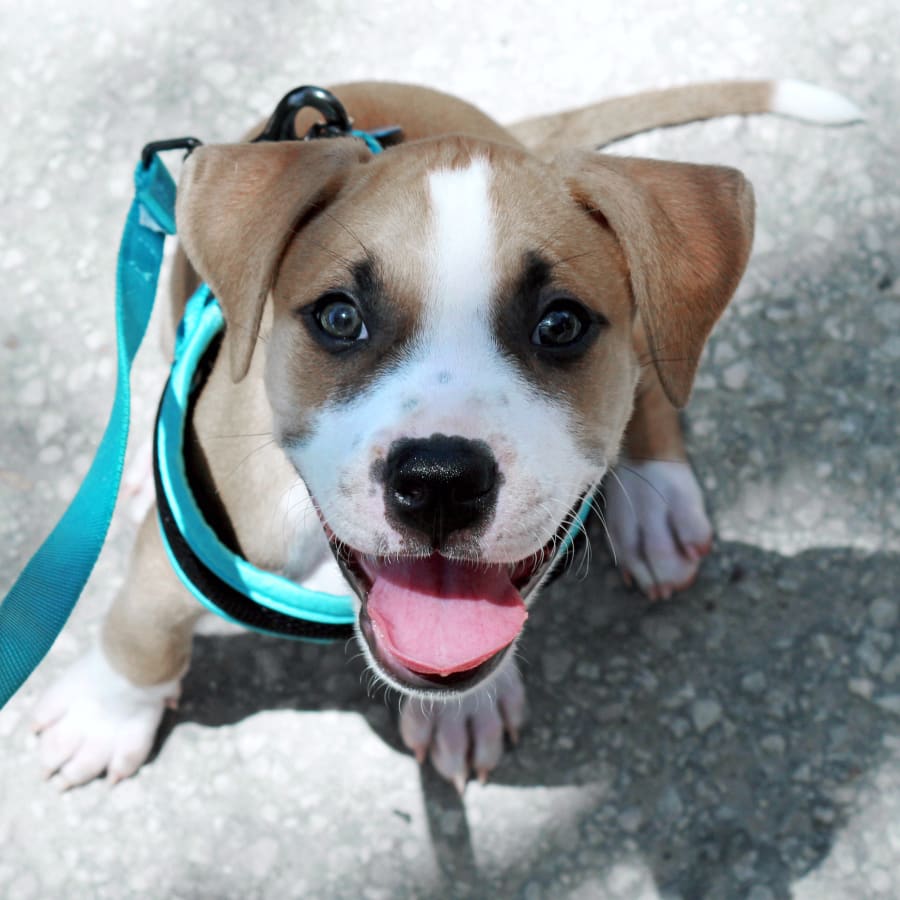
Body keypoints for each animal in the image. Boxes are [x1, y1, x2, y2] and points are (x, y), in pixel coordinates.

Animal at [29, 81, 856, 792]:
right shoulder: (181, 549)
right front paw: (105, 713)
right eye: (339, 317)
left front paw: (466, 712)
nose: (439, 481)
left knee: (659, 376)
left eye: (560, 325)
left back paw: (659, 509)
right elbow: (143, 623)